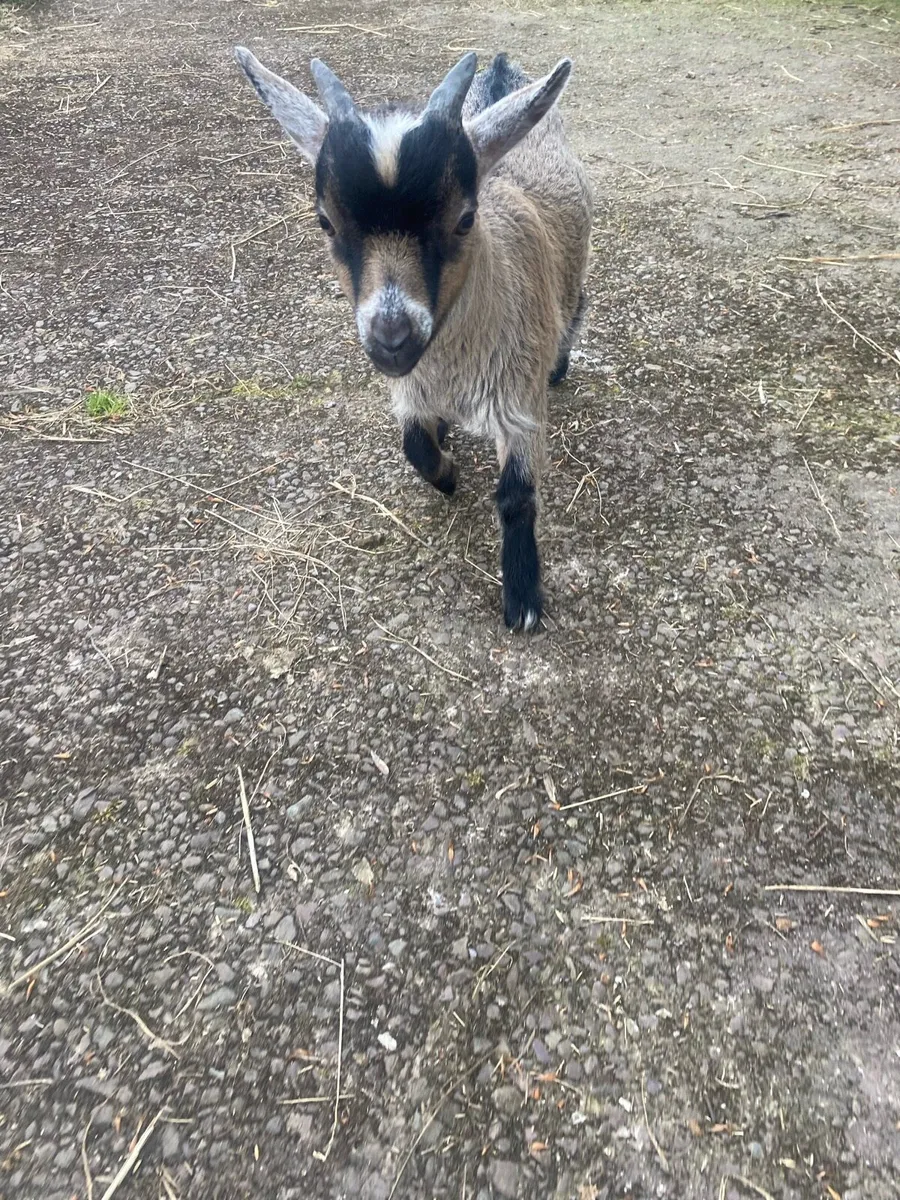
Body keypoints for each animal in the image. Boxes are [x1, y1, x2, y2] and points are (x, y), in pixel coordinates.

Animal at [235, 47, 592, 630]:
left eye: (465, 219)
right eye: (326, 222)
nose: (392, 338)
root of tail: (500, 74)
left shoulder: (519, 398)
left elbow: (517, 495)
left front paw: (522, 598)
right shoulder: (410, 389)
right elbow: (415, 447)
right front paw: (446, 475)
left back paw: (561, 365)